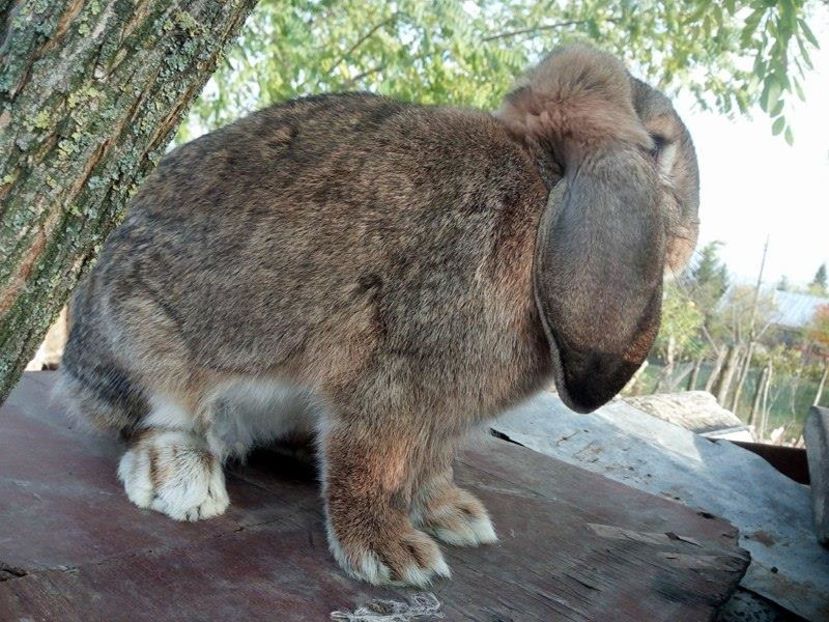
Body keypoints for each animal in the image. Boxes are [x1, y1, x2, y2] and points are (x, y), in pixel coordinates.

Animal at [55, 45, 696, 588]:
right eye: (659, 144)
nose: (690, 243)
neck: (542, 190)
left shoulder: (440, 418)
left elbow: (429, 467)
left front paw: (455, 517)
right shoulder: (390, 385)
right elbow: (370, 464)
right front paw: (393, 556)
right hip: (143, 345)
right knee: (146, 421)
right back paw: (181, 478)